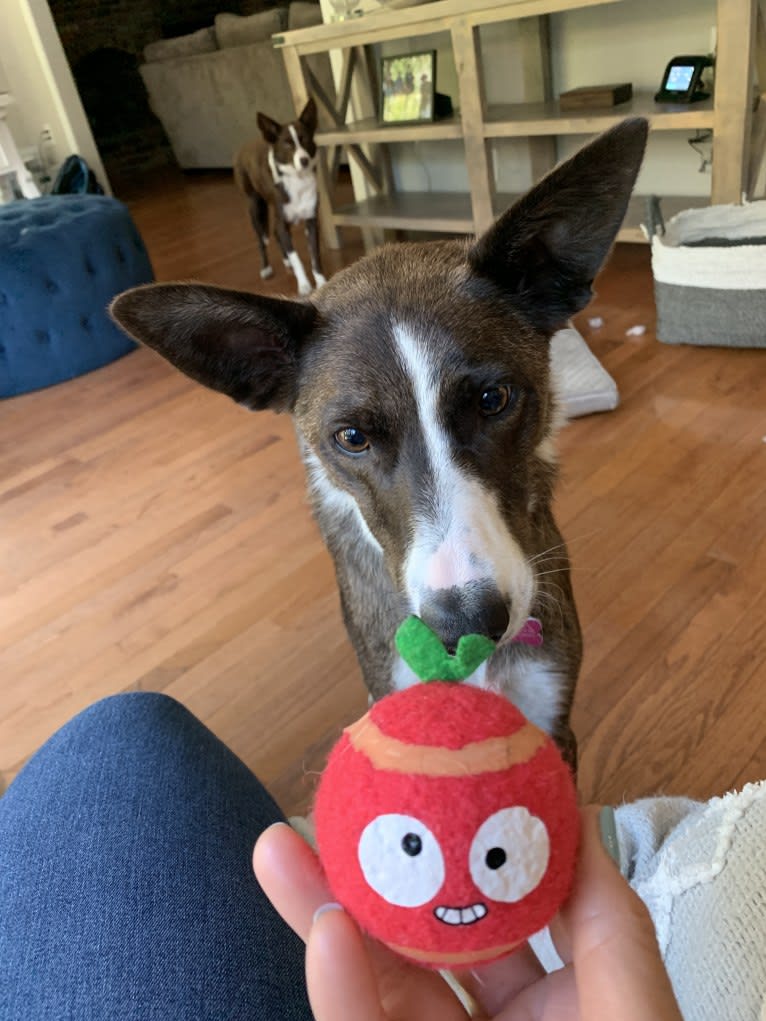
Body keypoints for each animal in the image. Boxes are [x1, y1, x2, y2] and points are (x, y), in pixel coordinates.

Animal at [233, 97, 324, 296]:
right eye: (287, 144)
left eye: (305, 139)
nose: (304, 160)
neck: (298, 180)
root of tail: (245, 145)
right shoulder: (282, 220)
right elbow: (297, 258)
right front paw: (304, 285)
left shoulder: (311, 221)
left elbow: (315, 257)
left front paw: (322, 283)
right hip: (255, 207)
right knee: (262, 239)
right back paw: (266, 267)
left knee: (275, 233)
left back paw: (285, 260)